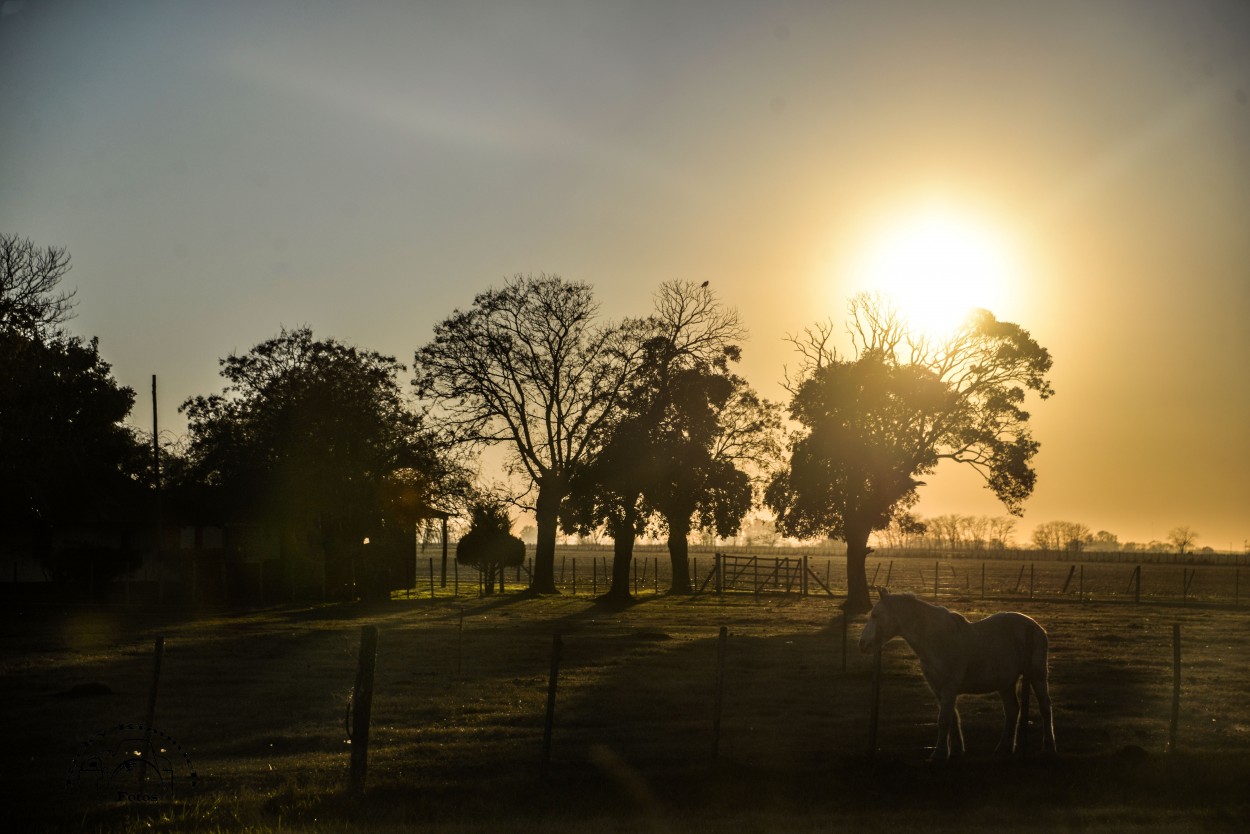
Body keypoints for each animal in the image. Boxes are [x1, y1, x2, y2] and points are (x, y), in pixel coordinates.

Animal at [860, 590, 1055, 760]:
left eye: (875, 615)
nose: (862, 644)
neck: (938, 640)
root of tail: (1036, 627)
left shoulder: (949, 687)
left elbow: (944, 719)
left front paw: (938, 753)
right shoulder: (938, 689)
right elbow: (952, 717)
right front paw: (954, 750)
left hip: (1037, 676)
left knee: (1045, 707)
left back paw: (1049, 747)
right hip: (1005, 683)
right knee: (1012, 710)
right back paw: (1003, 748)